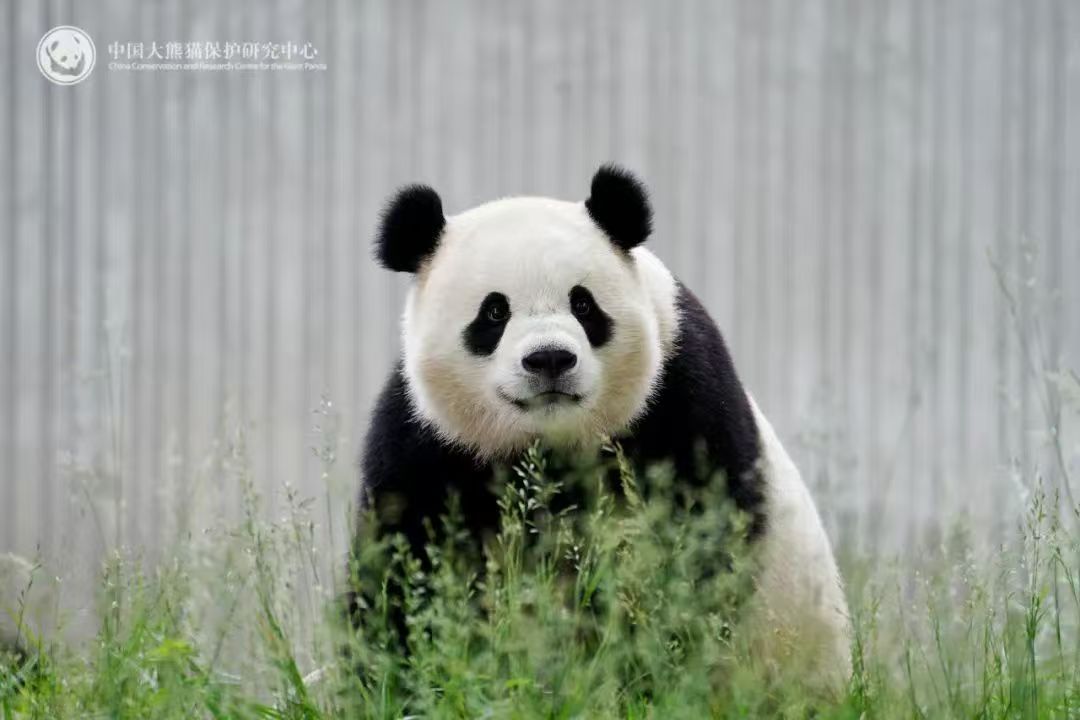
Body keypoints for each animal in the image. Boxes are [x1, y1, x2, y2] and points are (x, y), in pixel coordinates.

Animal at [354, 166, 851, 690]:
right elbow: (403, 565)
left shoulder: (681, 396)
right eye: (494, 312)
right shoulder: (427, 439)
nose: (550, 359)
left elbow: (691, 546)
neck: (548, 448)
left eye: (583, 305)